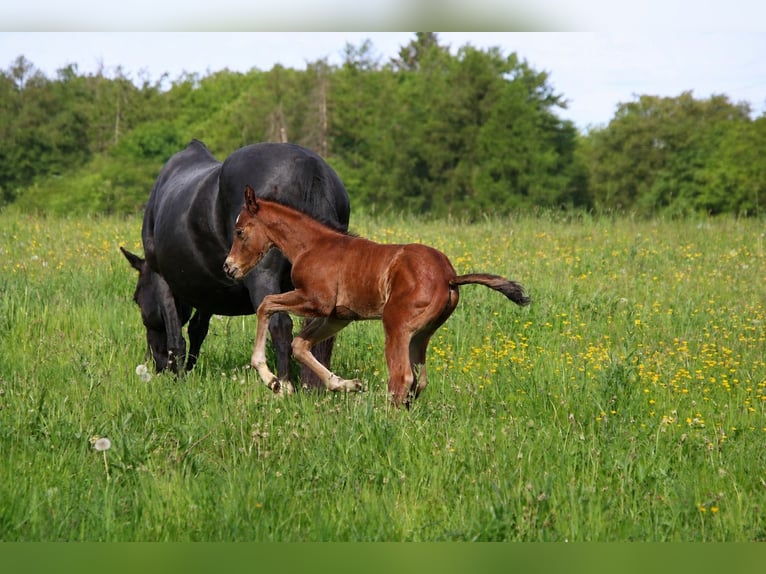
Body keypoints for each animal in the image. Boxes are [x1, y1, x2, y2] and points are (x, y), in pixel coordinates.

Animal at [121, 139, 350, 387]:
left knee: (280, 325)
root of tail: (308, 168)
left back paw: (282, 384)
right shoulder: (209, 288)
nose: (158, 365)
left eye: (137, 298)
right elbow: (197, 329)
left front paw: (180, 379)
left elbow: (176, 338)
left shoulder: (163, 280)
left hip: (263, 278)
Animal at [223, 185, 531, 407]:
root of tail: (448, 276)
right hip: (421, 334)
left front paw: (270, 378)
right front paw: (346, 385)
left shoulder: (316, 300)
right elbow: (300, 344)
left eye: (239, 231)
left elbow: (266, 305)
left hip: (396, 325)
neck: (311, 246)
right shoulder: (338, 316)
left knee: (401, 377)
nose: (229, 267)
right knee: (419, 380)